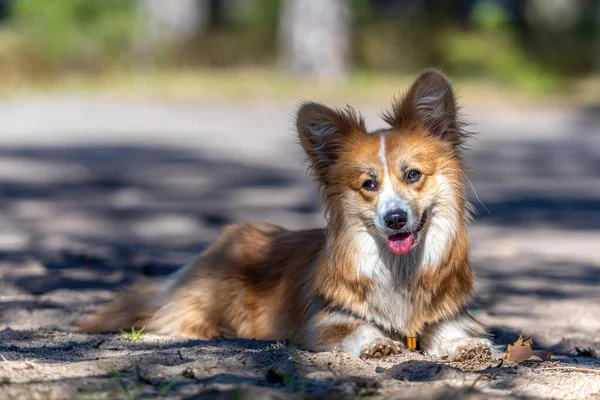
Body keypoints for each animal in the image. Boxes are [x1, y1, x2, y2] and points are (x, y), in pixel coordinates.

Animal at [79, 69, 492, 362]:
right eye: (369, 184)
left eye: (413, 175)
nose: (394, 220)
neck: (400, 271)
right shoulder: (322, 320)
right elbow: (353, 329)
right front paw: (377, 343)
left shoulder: (446, 313)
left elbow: (454, 330)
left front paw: (465, 346)